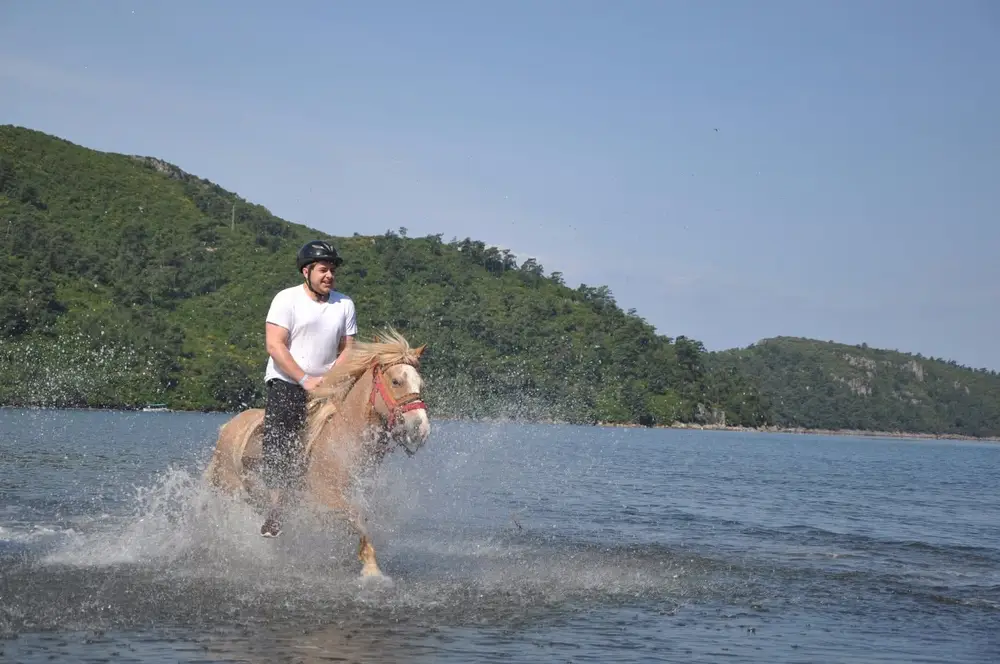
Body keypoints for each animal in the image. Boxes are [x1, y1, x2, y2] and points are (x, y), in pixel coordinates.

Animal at [203, 328, 430, 579]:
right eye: (396, 381)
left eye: (419, 383)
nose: (421, 428)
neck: (344, 441)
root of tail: (227, 427)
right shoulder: (324, 498)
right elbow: (356, 517)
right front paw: (371, 569)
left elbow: (359, 520)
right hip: (234, 489)